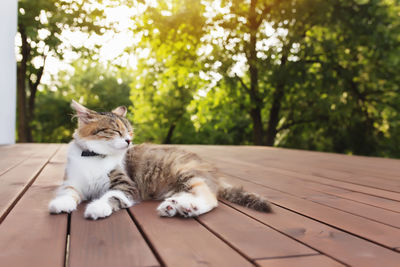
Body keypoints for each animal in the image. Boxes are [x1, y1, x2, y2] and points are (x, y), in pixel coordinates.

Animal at [47, 100, 272, 220]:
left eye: (129, 132)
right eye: (116, 131)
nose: (128, 140)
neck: (94, 157)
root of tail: (212, 170)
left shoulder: (126, 185)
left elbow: (112, 196)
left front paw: (97, 207)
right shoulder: (73, 182)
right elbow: (69, 193)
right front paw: (61, 204)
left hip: (185, 172)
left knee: (210, 198)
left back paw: (188, 207)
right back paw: (174, 206)